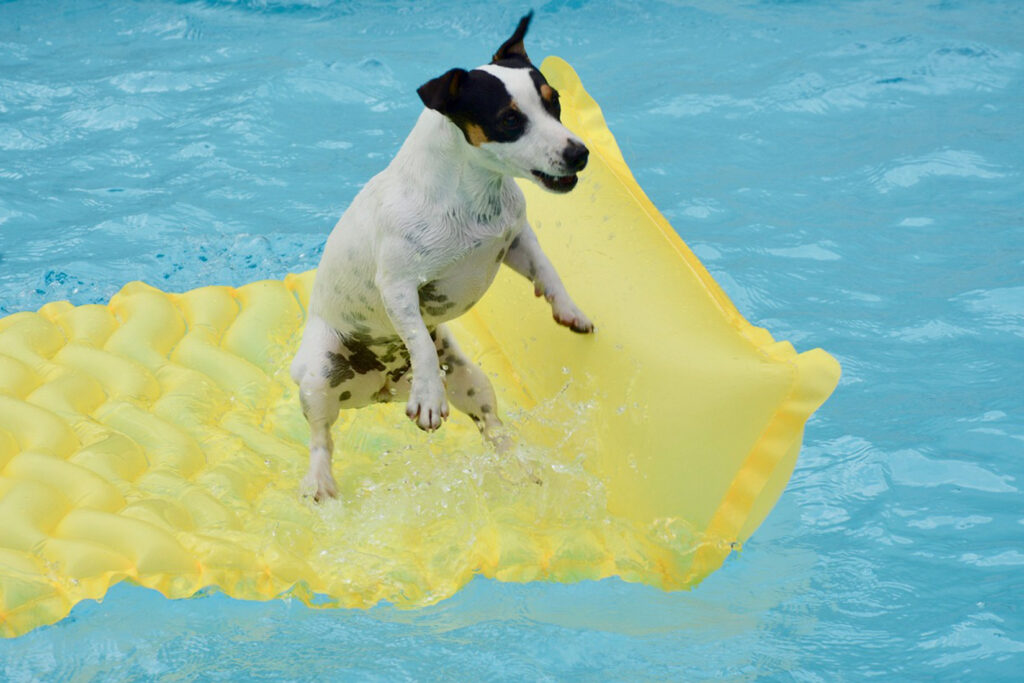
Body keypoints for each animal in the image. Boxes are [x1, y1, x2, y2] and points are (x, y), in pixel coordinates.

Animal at [288, 12, 593, 501]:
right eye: (510, 119)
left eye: (556, 102)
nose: (579, 153)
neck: (472, 194)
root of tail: (382, 390)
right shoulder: (397, 286)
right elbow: (418, 341)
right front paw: (429, 398)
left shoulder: (516, 241)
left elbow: (548, 271)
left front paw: (568, 309)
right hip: (319, 374)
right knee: (321, 437)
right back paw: (321, 480)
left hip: (472, 382)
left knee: (492, 426)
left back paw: (520, 467)